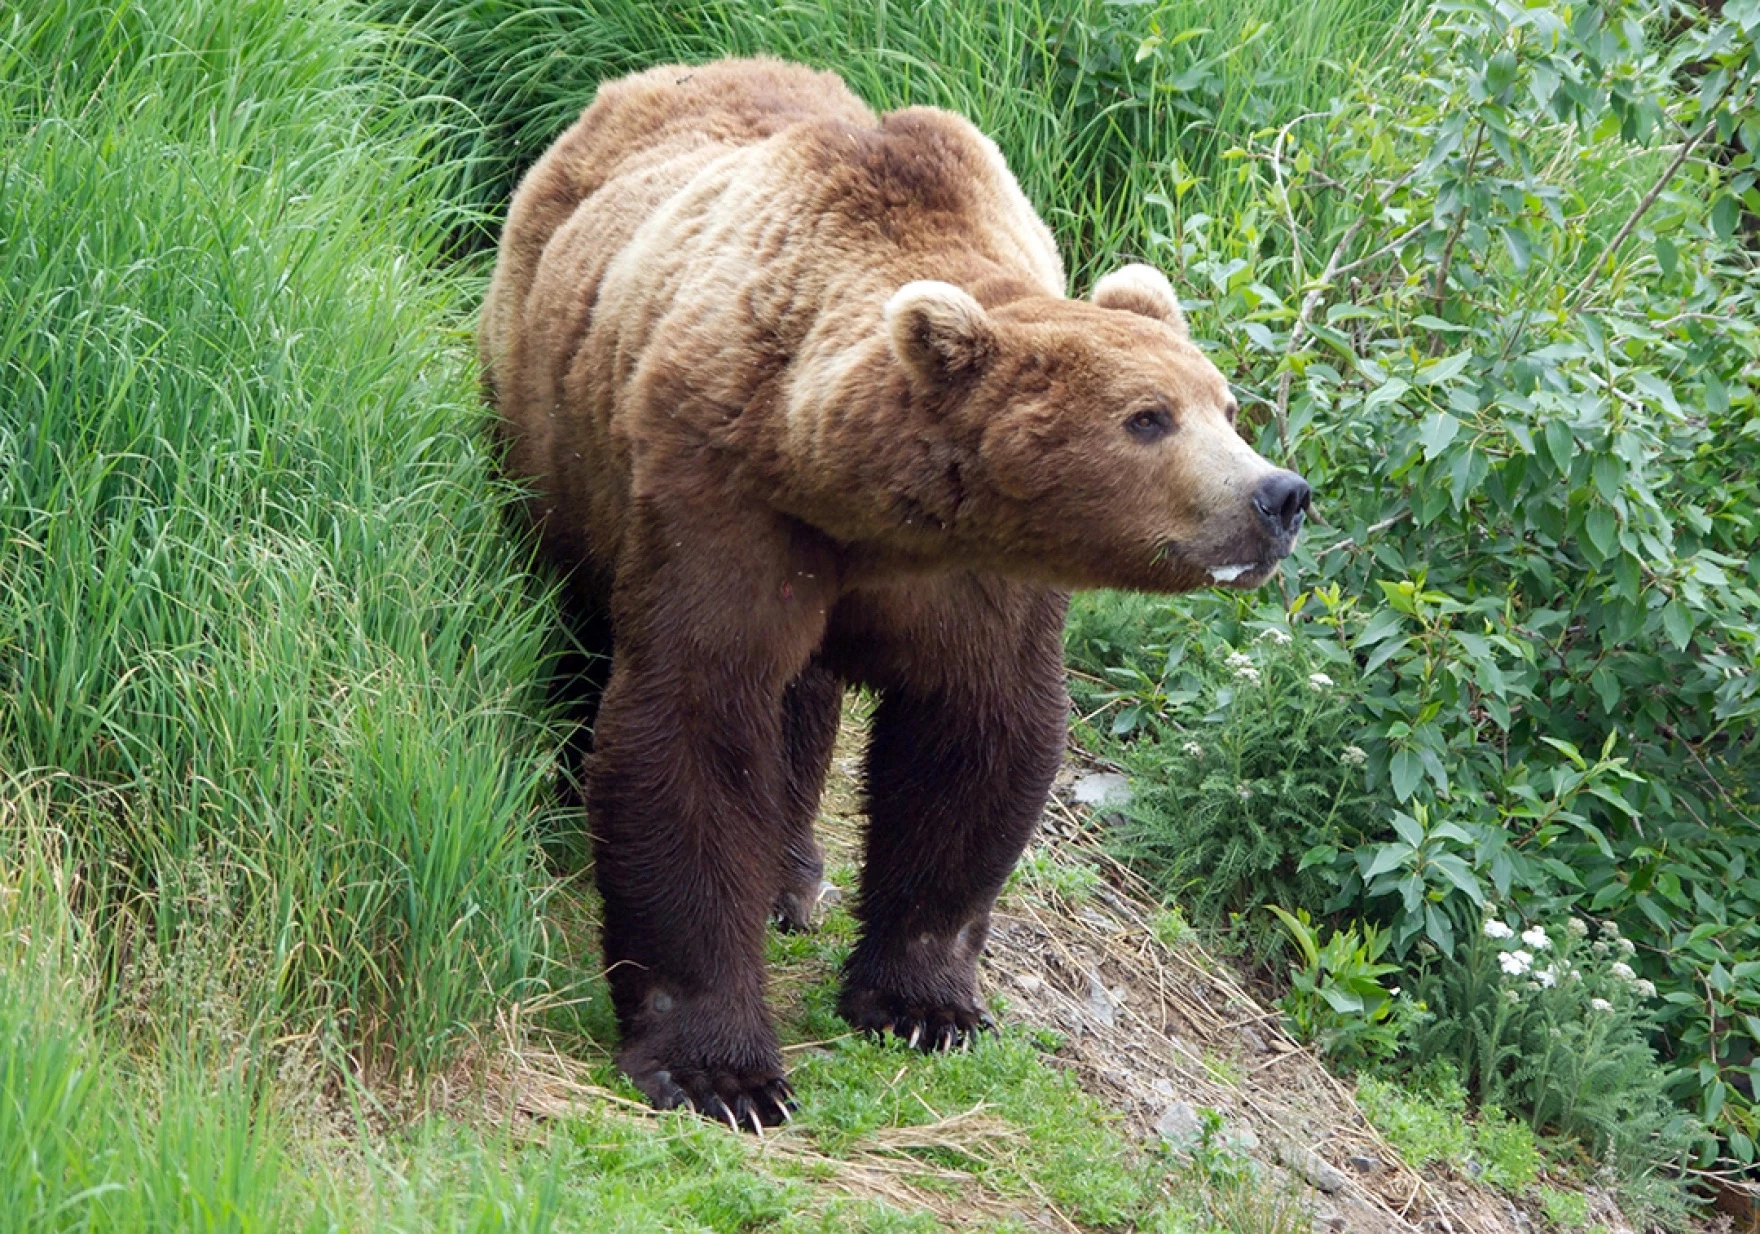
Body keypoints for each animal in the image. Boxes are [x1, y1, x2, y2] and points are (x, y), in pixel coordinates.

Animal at [479, 57, 1309, 1132]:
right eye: (1147, 418)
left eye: (1226, 404)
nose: (1279, 496)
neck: (867, 504)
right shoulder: (721, 497)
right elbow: (693, 713)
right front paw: (723, 1069)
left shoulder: (981, 581)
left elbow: (976, 738)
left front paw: (925, 1003)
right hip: (554, 427)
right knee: (581, 615)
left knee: (803, 696)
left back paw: (791, 878)